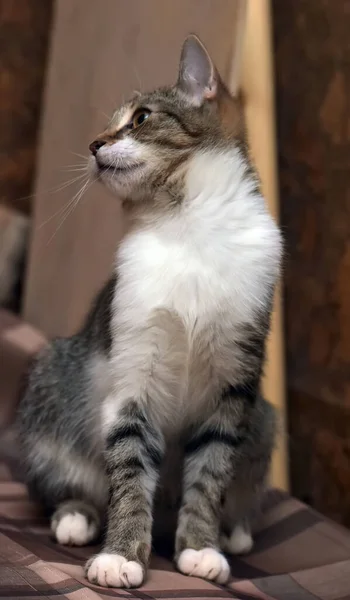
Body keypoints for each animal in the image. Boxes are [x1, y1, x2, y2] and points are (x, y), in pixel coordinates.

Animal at [17, 35, 282, 588]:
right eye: (109, 124)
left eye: (140, 118)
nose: (94, 145)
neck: (188, 227)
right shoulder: (133, 373)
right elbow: (130, 468)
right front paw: (121, 554)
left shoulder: (234, 385)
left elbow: (211, 474)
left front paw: (201, 546)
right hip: (51, 384)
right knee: (64, 485)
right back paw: (76, 516)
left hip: (265, 416)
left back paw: (234, 531)